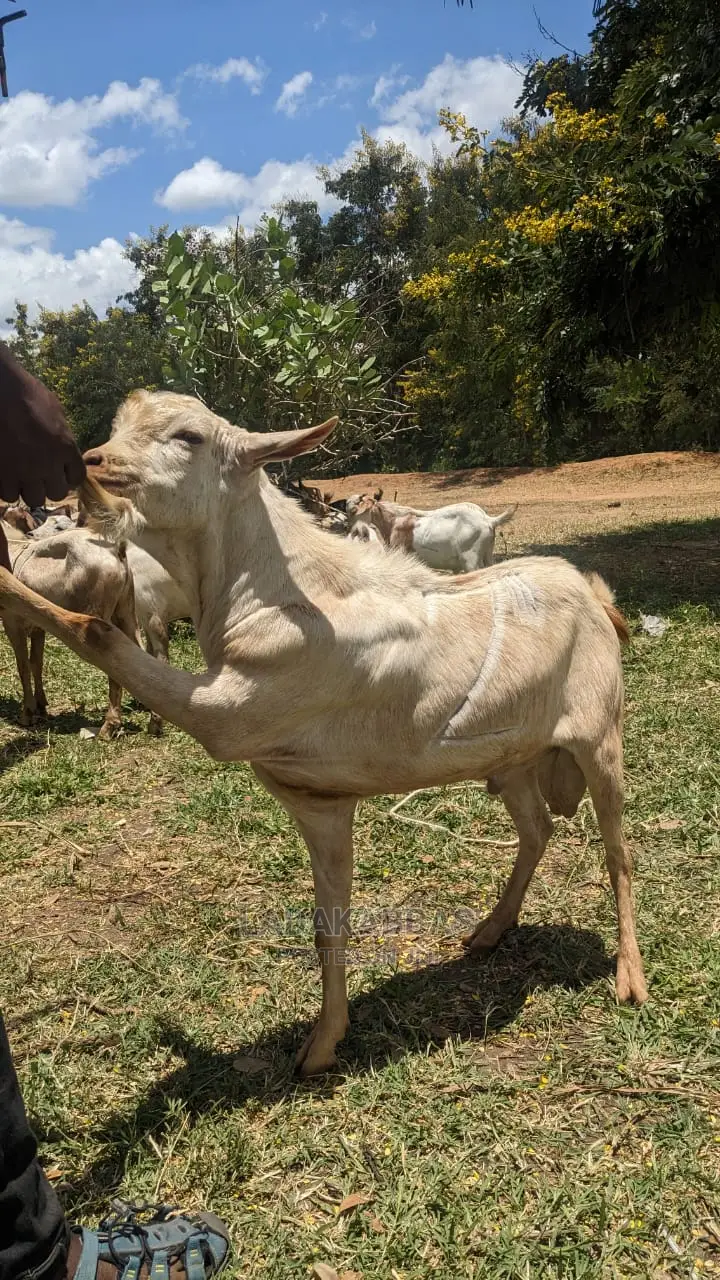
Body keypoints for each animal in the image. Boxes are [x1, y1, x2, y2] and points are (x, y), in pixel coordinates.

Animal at [0, 392, 647, 1076]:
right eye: (119, 427)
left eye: (189, 436)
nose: (94, 463)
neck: (273, 593)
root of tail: (597, 596)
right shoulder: (321, 800)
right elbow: (326, 922)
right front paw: (326, 1038)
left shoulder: (235, 713)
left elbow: (96, 632)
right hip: (514, 754)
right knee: (537, 826)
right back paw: (490, 930)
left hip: (599, 732)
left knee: (617, 849)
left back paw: (629, 976)